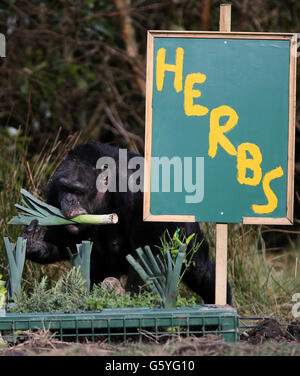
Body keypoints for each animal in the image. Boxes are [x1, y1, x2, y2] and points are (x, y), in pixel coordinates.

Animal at [22, 142, 232, 306]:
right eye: (65, 188)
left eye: (78, 190)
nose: (68, 200)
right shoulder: (53, 188)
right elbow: (63, 241)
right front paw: (35, 241)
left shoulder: (140, 193)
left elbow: (144, 257)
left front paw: (133, 301)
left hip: (185, 235)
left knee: (201, 272)